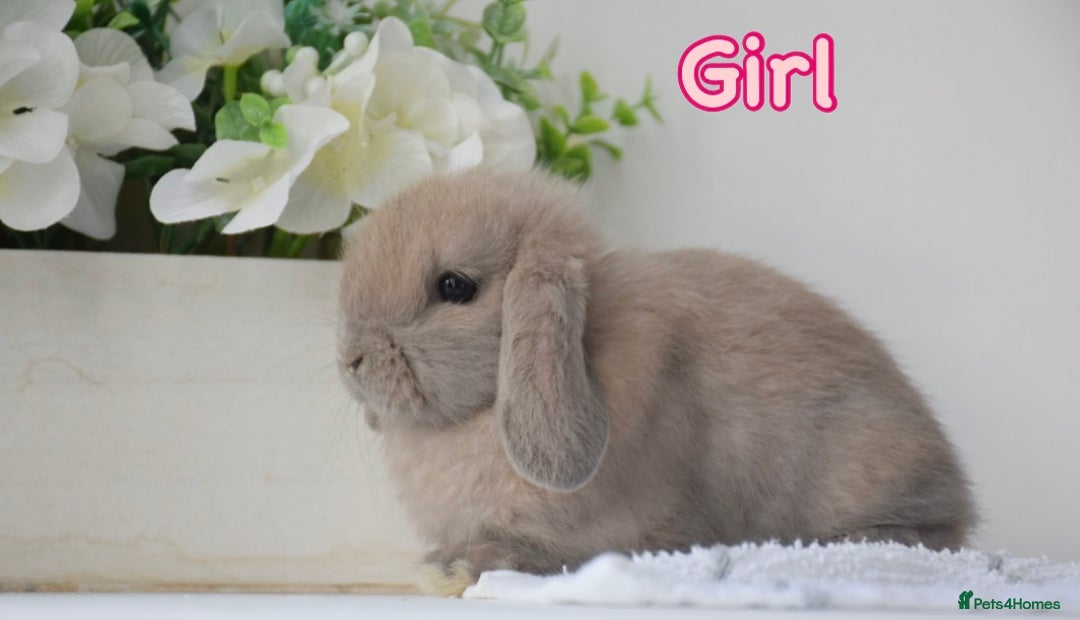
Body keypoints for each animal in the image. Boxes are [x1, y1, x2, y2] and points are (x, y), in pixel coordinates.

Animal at [336, 168, 976, 595]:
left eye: (454, 286)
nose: (350, 357)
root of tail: (957, 490)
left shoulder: (629, 532)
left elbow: (547, 554)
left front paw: (456, 564)